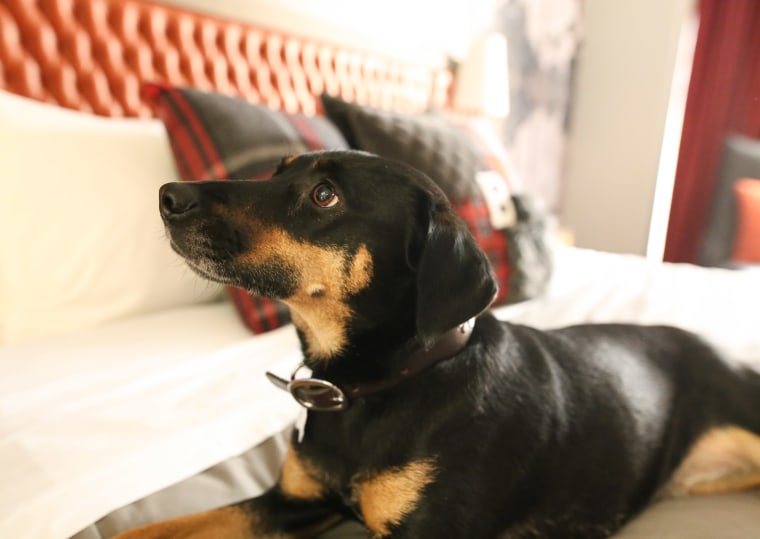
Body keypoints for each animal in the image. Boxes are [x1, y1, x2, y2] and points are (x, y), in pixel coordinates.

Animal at [114, 150, 760, 536]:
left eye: (324, 196)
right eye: (277, 171)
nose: (168, 196)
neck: (368, 388)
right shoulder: (291, 502)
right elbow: (144, 529)